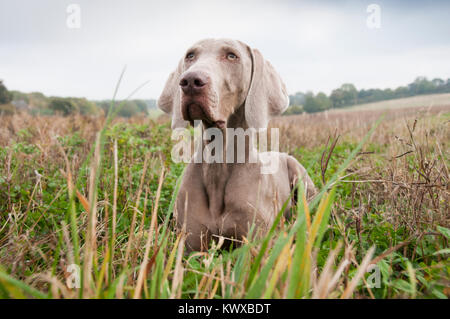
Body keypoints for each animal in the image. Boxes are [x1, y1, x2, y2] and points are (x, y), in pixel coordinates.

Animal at [158, 38, 316, 252]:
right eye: (190, 55)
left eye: (232, 55)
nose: (190, 81)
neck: (219, 162)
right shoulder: (190, 244)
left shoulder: (257, 242)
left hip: (302, 178)